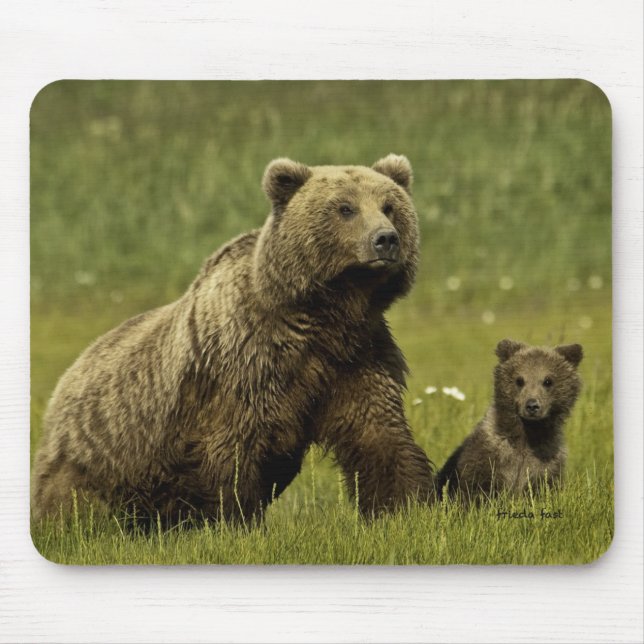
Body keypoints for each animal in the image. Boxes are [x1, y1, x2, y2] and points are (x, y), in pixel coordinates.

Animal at [32, 154, 435, 526]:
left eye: (389, 206)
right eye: (345, 208)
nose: (385, 239)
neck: (327, 313)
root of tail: (66, 379)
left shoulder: (357, 356)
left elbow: (378, 432)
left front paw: (405, 508)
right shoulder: (246, 363)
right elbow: (235, 450)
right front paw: (237, 520)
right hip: (103, 455)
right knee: (79, 504)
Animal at [436, 338, 583, 502]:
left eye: (548, 381)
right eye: (519, 380)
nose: (532, 405)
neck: (528, 434)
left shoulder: (547, 460)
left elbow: (544, 487)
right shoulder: (491, 456)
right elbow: (476, 487)